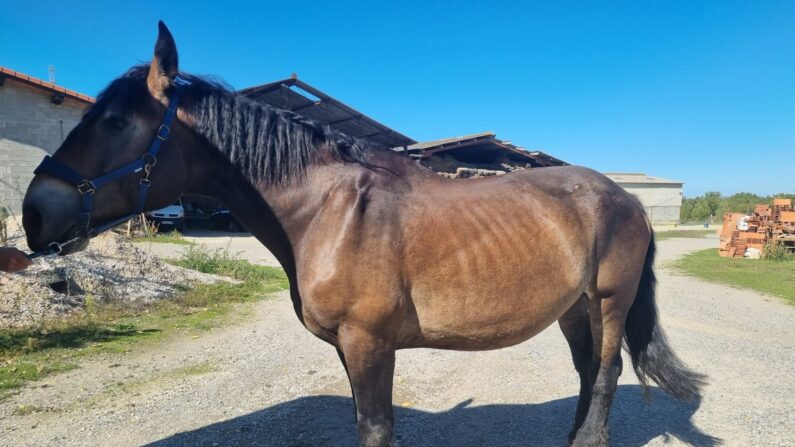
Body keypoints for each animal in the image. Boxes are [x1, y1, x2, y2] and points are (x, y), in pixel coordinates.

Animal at [21, 22, 704, 446]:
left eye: (114, 121)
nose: (33, 215)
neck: (329, 213)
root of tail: (627, 198)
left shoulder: (370, 344)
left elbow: (375, 429)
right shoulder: (351, 351)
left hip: (609, 301)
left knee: (608, 373)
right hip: (573, 307)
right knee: (588, 370)